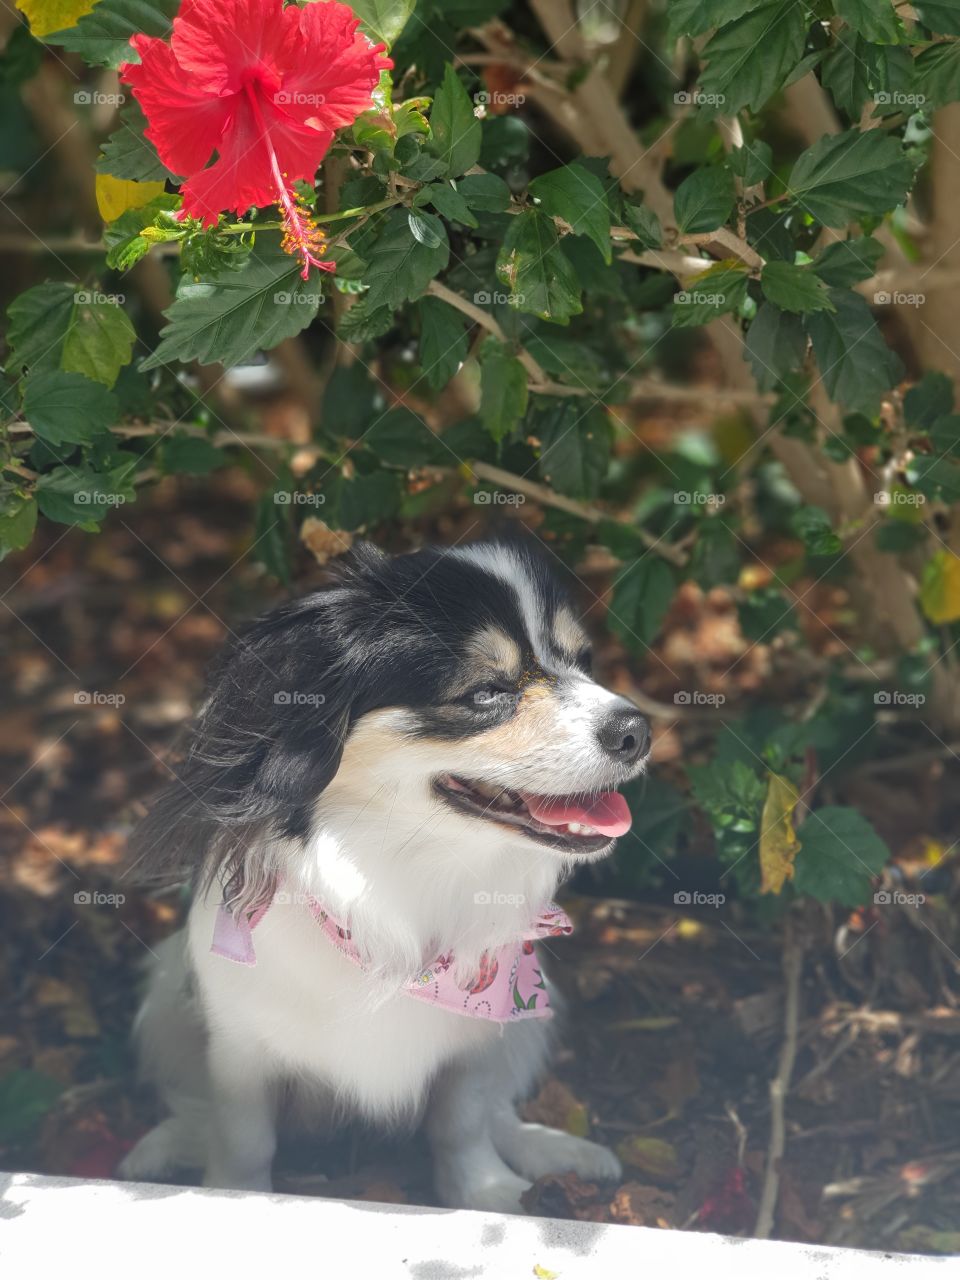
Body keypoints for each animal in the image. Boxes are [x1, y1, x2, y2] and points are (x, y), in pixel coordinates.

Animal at [116, 540, 650, 1208]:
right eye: (486, 692)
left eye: (583, 663)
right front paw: (236, 1196)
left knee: (499, 1111)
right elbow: (243, 1138)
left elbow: (464, 1122)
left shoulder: (474, 1041)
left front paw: (487, 1193)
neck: (400, 877)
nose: (637, 730)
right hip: (165, 994)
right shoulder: (241, 1049)